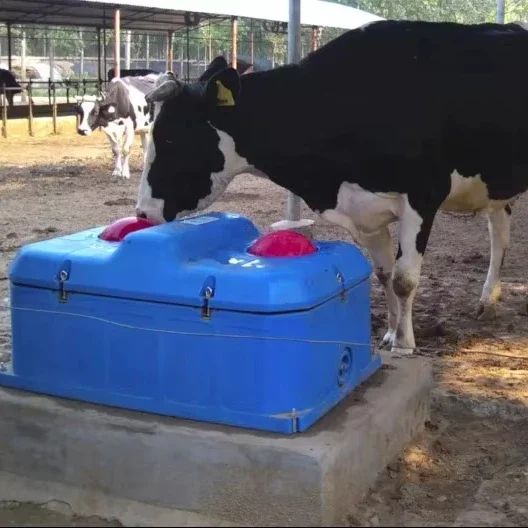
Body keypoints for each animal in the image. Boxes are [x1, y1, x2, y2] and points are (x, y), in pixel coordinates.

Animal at [136, 23, 528, 354]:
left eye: (171, 138)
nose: (143, 212)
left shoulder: (423, 193)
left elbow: (404, 278)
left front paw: (404, 344)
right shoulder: (361, 209)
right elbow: (384, 273)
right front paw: (389, 333)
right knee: (499, 230)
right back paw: (487, 300)